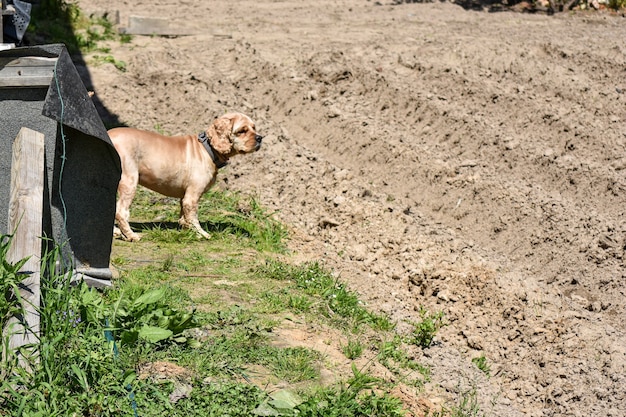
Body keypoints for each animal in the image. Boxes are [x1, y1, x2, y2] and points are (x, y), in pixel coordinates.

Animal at [109, 111, 260, 240]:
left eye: (254, 128)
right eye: (242, 131)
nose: (260, 138)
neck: (207, 149)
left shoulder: (184, 196)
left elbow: (184, 218)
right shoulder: (192, 196)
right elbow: (193, 217)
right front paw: (202, 234)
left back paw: (116, 232)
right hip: (129, 181)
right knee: (121, 211)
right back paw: (131, 235)